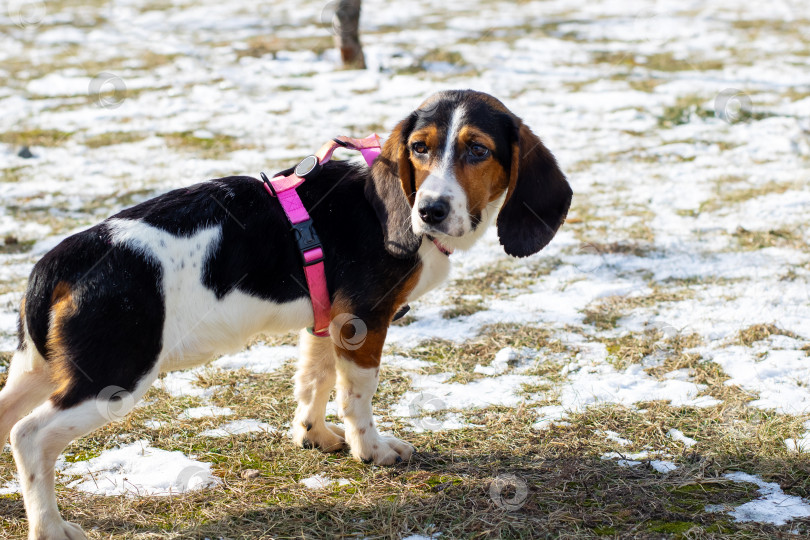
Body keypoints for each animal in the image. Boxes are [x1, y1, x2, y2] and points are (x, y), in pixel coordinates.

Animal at [0, 89, 572, 540]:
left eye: (478, 149)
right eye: (419, 148)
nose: (430, 210)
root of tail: (59, 261)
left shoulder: (328, 322)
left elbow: (314, 380)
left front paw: (313, 437)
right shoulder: (364, 323)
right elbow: (356, 396)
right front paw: (372, 450)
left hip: (39, 369)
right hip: (114, 379)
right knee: (29, 436)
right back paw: (50, 527)